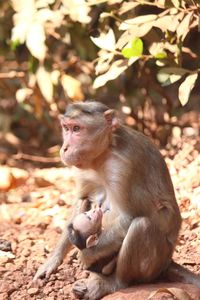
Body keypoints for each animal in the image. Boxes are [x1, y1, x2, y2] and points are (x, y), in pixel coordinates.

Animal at [34, 100, 200, 298]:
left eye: (77, 129)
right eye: (66, 128)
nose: (65, 147)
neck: (104, 153)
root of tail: (168, 261)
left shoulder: (123, 166)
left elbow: (129, 217)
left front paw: (87, 255)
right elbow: (81, 199)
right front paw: (53, 259)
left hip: (155, 263)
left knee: (140, 226)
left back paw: (114, 282)